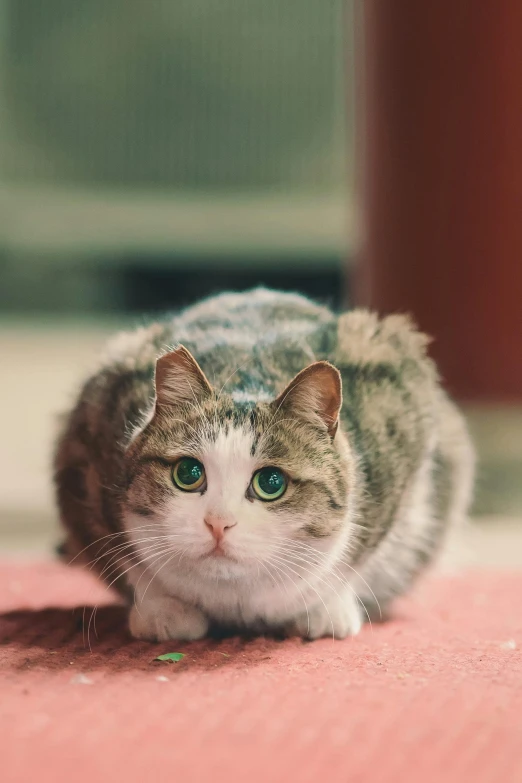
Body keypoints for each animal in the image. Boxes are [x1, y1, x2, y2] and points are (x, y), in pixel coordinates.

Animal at [54, 290, 474, 640]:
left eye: (271, 482)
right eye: (188, 474)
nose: (218, 522)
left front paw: (328, 610)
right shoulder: (94, 442)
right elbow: (131, 561)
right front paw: (163, 611)